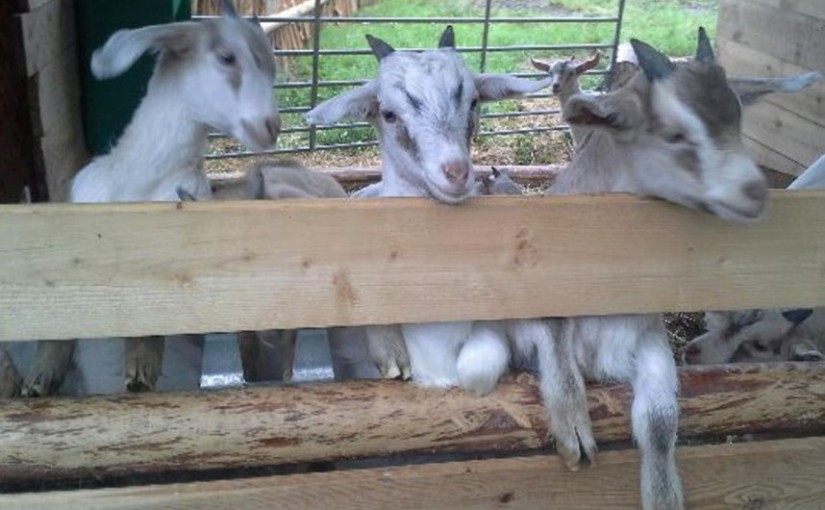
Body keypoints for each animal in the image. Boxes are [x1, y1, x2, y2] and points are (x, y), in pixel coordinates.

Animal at [507, 29, 769, 510]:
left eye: (738, 119)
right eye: (674, 133)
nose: (755, 192)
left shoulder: (649, 341)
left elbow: (661, 420)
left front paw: (663, 495)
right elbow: (553, 330)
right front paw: (573, 430)